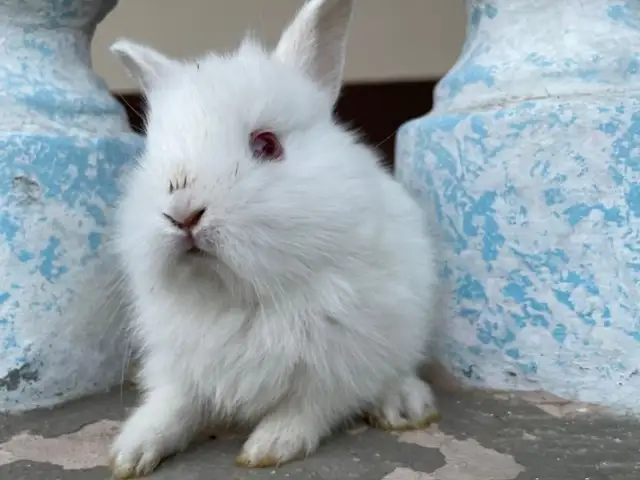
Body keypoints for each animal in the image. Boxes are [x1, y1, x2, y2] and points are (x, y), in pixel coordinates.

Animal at [108, 0, 440, 477]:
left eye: (267, 144)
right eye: (150, 154)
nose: (183, 214)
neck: (237, 297)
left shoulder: (340, 361)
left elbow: (309, 407)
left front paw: (271, 445)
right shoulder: (180, 364)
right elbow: (173, 405)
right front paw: (129, 452)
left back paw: (404, 405)